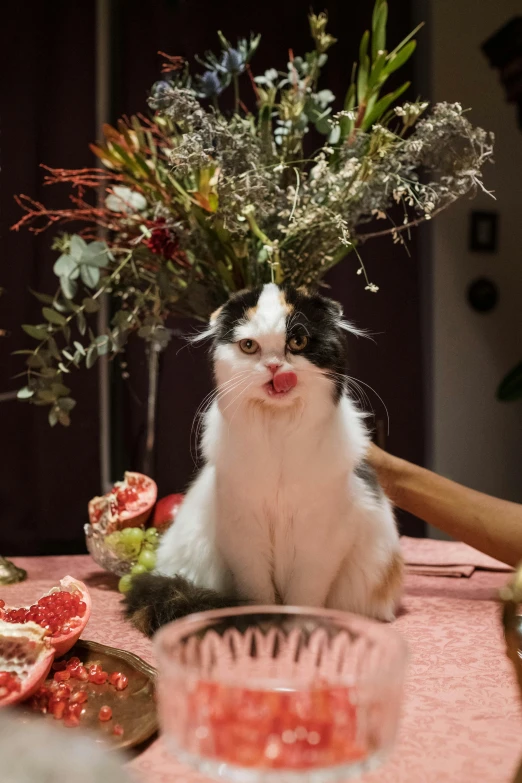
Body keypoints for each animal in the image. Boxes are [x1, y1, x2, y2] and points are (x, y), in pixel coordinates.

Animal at [124, 282, 400, 636]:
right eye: (249, 346)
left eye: (297, 342)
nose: (273, 366)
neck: (277, 429)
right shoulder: (244, 534)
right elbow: (258, 592)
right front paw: (264, 628)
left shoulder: (321, 538)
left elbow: (305, 595)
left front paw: (302, 629)